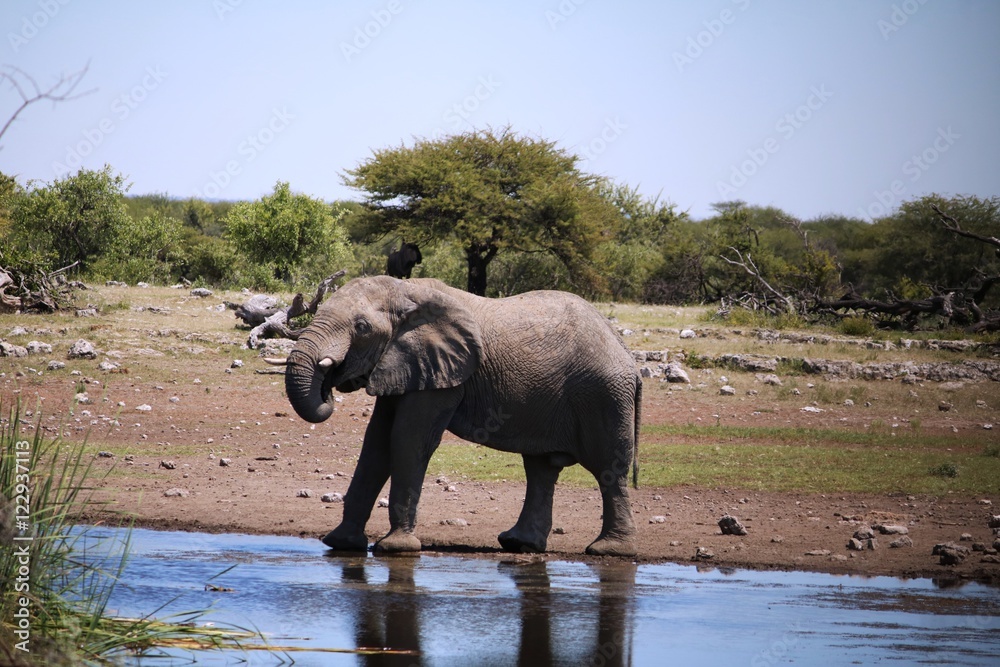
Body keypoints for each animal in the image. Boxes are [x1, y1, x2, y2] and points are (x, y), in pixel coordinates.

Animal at [282, 275, 641, 556]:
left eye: (361, 327)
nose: (329, 382)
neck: (406, 290)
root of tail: (626, 354)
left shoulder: (441, 373)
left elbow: (408, 441)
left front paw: (396, 548)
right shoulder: (405, 365)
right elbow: (376, 445)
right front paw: (341, 544)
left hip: (603, 396)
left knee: (609, 470)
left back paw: (609, 550)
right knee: (541, 469)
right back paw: (519, 544)